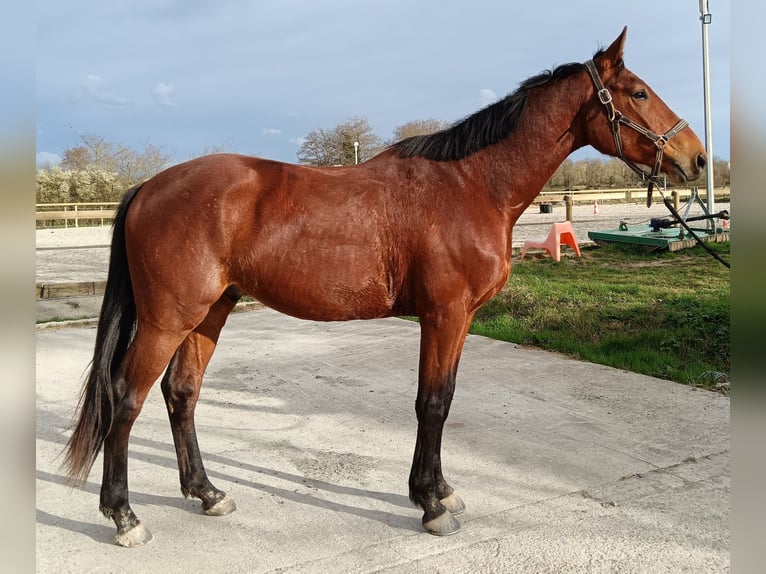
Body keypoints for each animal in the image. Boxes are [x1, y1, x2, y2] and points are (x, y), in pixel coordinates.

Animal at [64, 27, 706, 547]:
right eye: (639, 92)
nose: (697, 158)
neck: (472, 184)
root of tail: (149, 187)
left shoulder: (461, 318)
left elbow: (443, 397)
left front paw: (440, 490)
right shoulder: (443, 313)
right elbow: (432, 403)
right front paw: (429, 504)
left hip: (210, 311)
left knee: (182, 394)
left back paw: (207, 493)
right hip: (169, 317)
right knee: (125, 398)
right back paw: (123, 516)